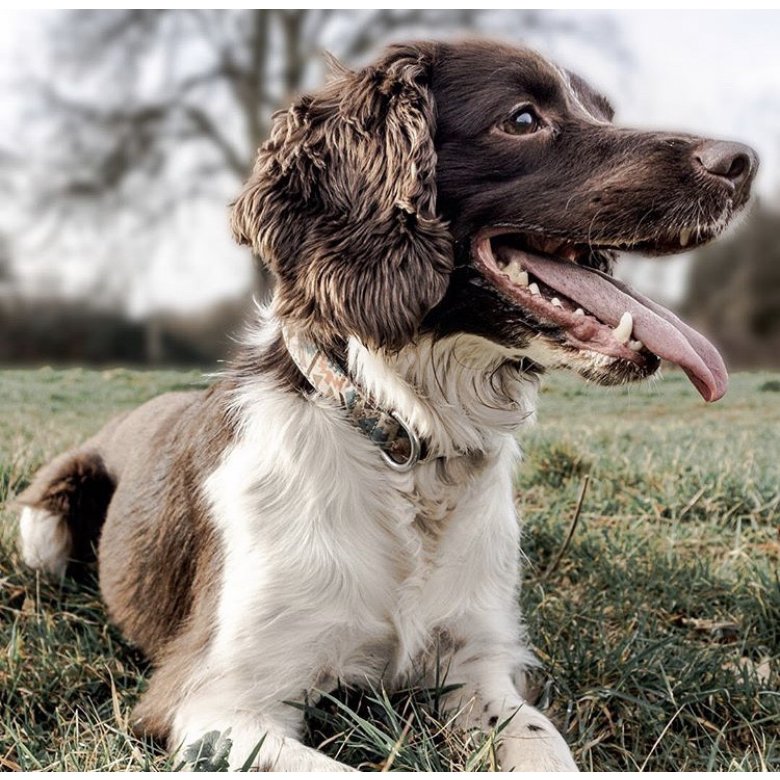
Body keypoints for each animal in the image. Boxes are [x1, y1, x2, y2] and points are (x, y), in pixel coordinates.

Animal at [18, 39, 756, 772]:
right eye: (522, 119)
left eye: (603, 112)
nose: (743, 162)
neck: (409, 447)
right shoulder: (216, 701)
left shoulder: (477, 660)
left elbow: (541, 744)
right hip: (45, 519)